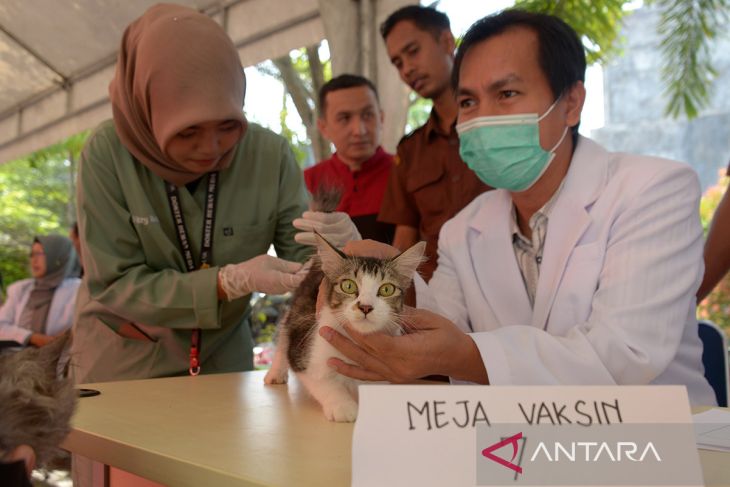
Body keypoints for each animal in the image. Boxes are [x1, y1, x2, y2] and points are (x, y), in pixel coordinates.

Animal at [264, 236, 424, 424]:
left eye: (386, 289)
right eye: (348, 286)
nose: (365, 307)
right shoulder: (307, 349)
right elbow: (323, 381)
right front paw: (343, 406)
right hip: (298, 311)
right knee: (284, 334)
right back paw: (275, 373)